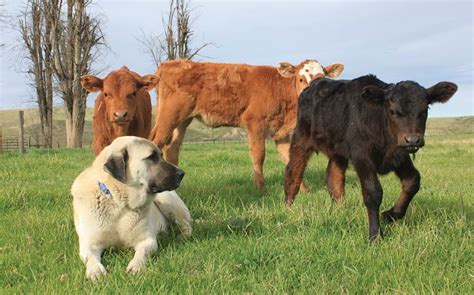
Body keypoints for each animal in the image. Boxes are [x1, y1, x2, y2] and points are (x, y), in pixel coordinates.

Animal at [71, 136, 193, 280]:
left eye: (161, 156)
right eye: (152, 157)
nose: (182, 173)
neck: (118, 202)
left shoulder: (147, 241)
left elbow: (141, 253)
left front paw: (136, 266)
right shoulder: (89, 245)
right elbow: (90, 258)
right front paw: (95, 271)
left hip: (167, 201)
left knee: (187, 225)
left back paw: (182, 236)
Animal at [150, 59, 342, 190]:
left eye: (322, 77)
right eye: (301, 79)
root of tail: (171, 63)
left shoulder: (281, 132)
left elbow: (290, 159)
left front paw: (302, 190)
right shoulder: (254, 122)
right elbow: (258, 156)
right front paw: (261, 188)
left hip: (182, 120)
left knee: (172, 148)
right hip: (169, 116)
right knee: (155, 142)